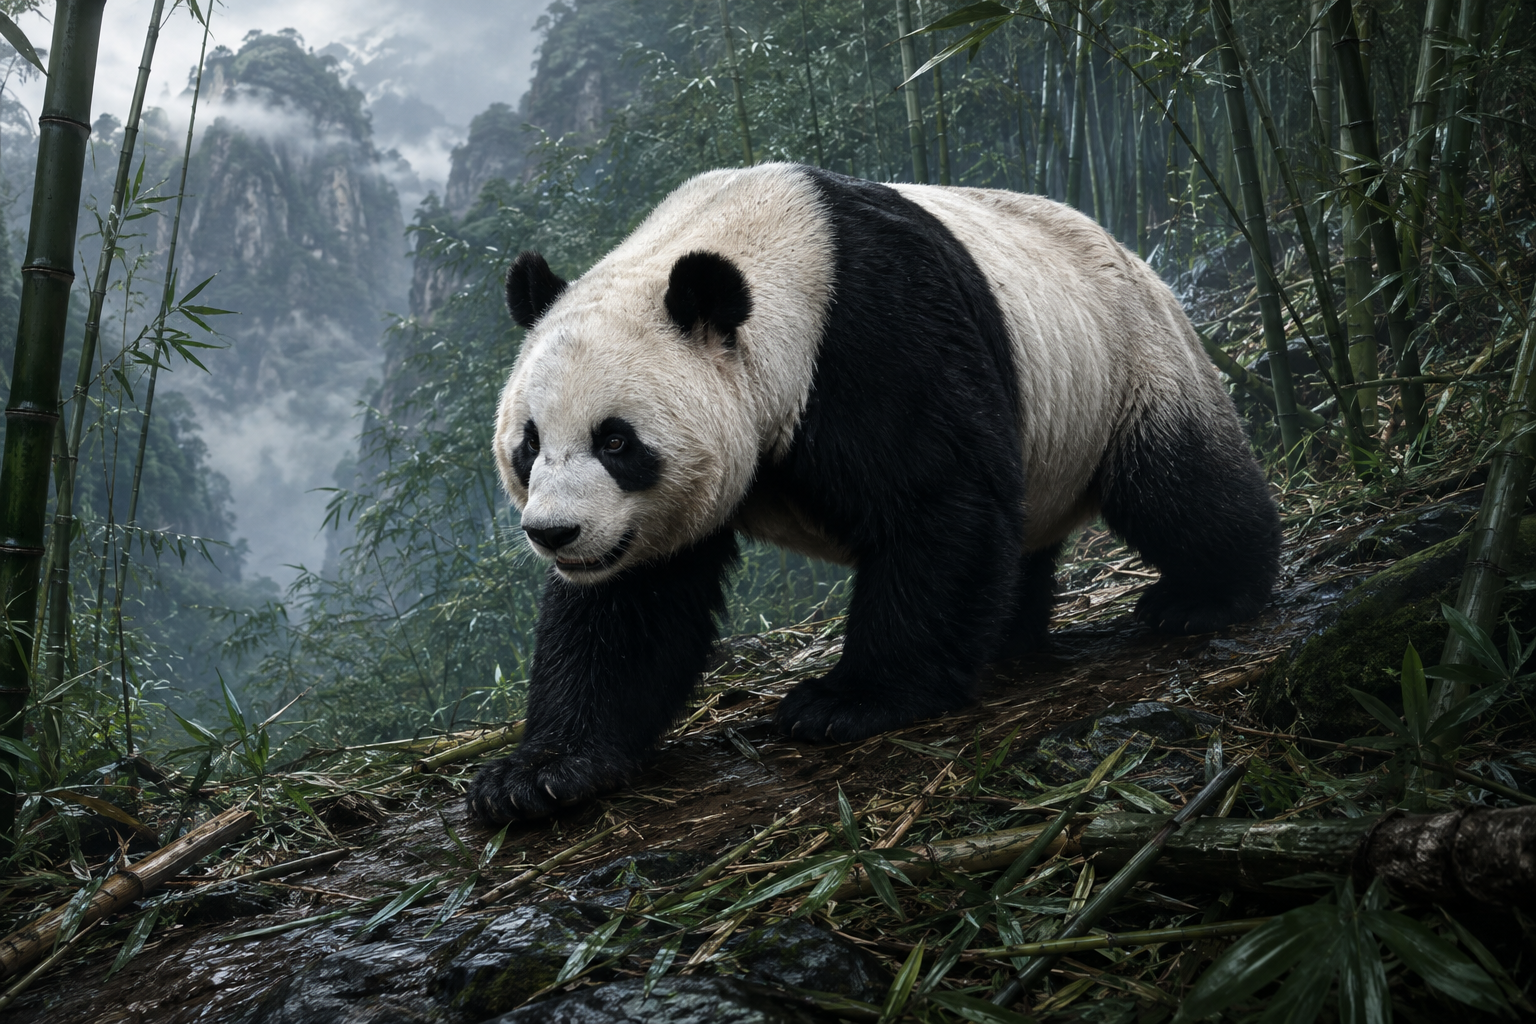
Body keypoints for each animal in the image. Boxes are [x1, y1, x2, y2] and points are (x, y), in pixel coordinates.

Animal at [468, 164, 1278, 825]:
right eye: (529, 444)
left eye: (616, 442)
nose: (555, 533)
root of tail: (1133, 254)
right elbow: (627, 606)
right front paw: (538, 775)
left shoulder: (876, 332)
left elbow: (935, 506)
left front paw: (845, 703)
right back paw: (1007, 638)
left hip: (1126, 358)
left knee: (1177, 485)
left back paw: (1204, 597)